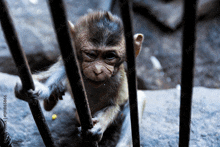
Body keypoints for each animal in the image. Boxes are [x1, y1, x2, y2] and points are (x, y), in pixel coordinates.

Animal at [14, 11, 144, 142]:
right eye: (91, 54)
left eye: (110, 56)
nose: (98, 70)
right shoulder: (70, 62)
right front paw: (29, 89)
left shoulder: (119, 79)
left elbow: (115, 105)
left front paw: (99, 125)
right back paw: (53, 97)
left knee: (137, 99)